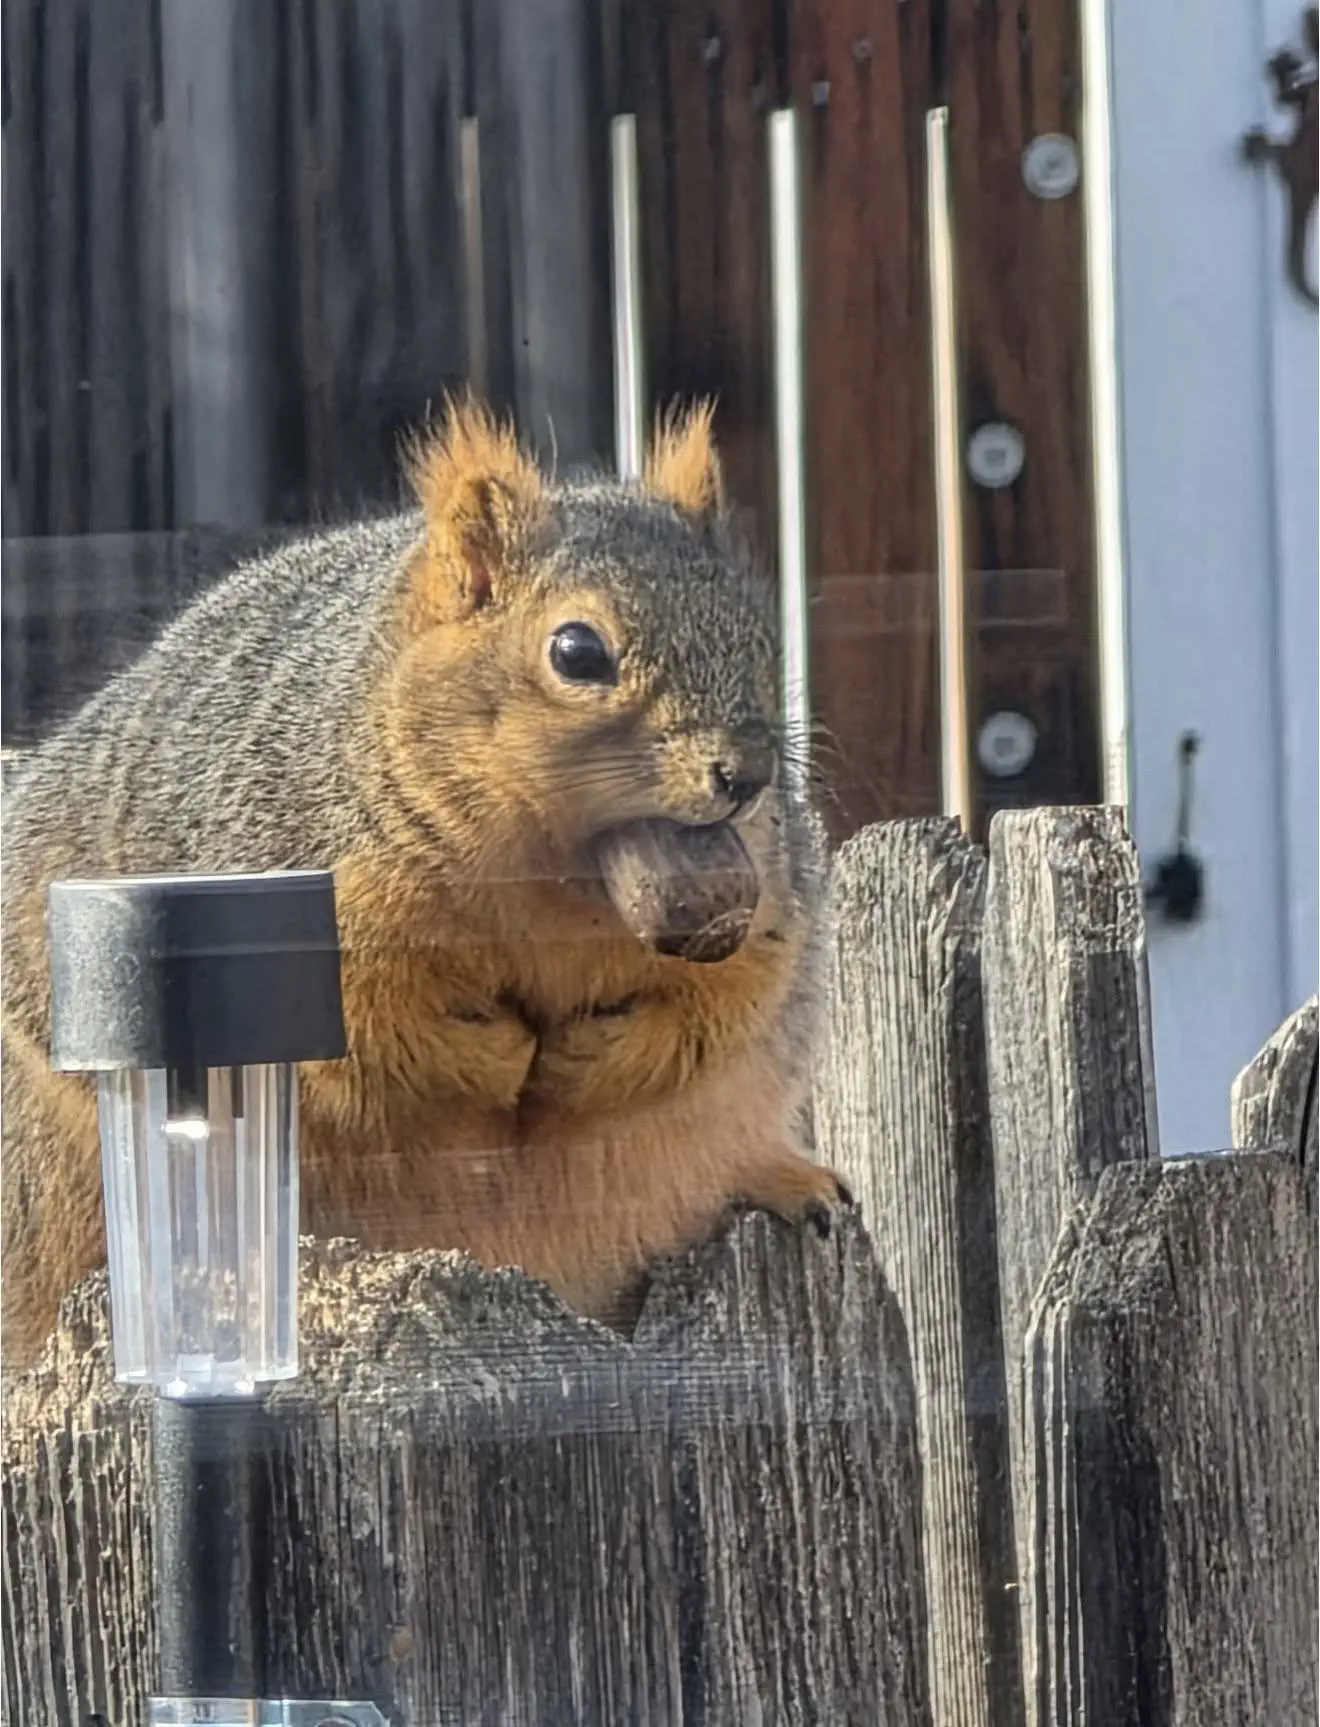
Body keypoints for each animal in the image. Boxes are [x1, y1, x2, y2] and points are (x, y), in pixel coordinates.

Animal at [1, 399, 847, 1366]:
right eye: (576, 651)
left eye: (760, 629)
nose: (746, 773)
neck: (554, 876)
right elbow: (368, 1038)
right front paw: (497, 1055)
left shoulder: (769, 893)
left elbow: (728, 1000)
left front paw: (590, 1058)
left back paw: (786, 1179)